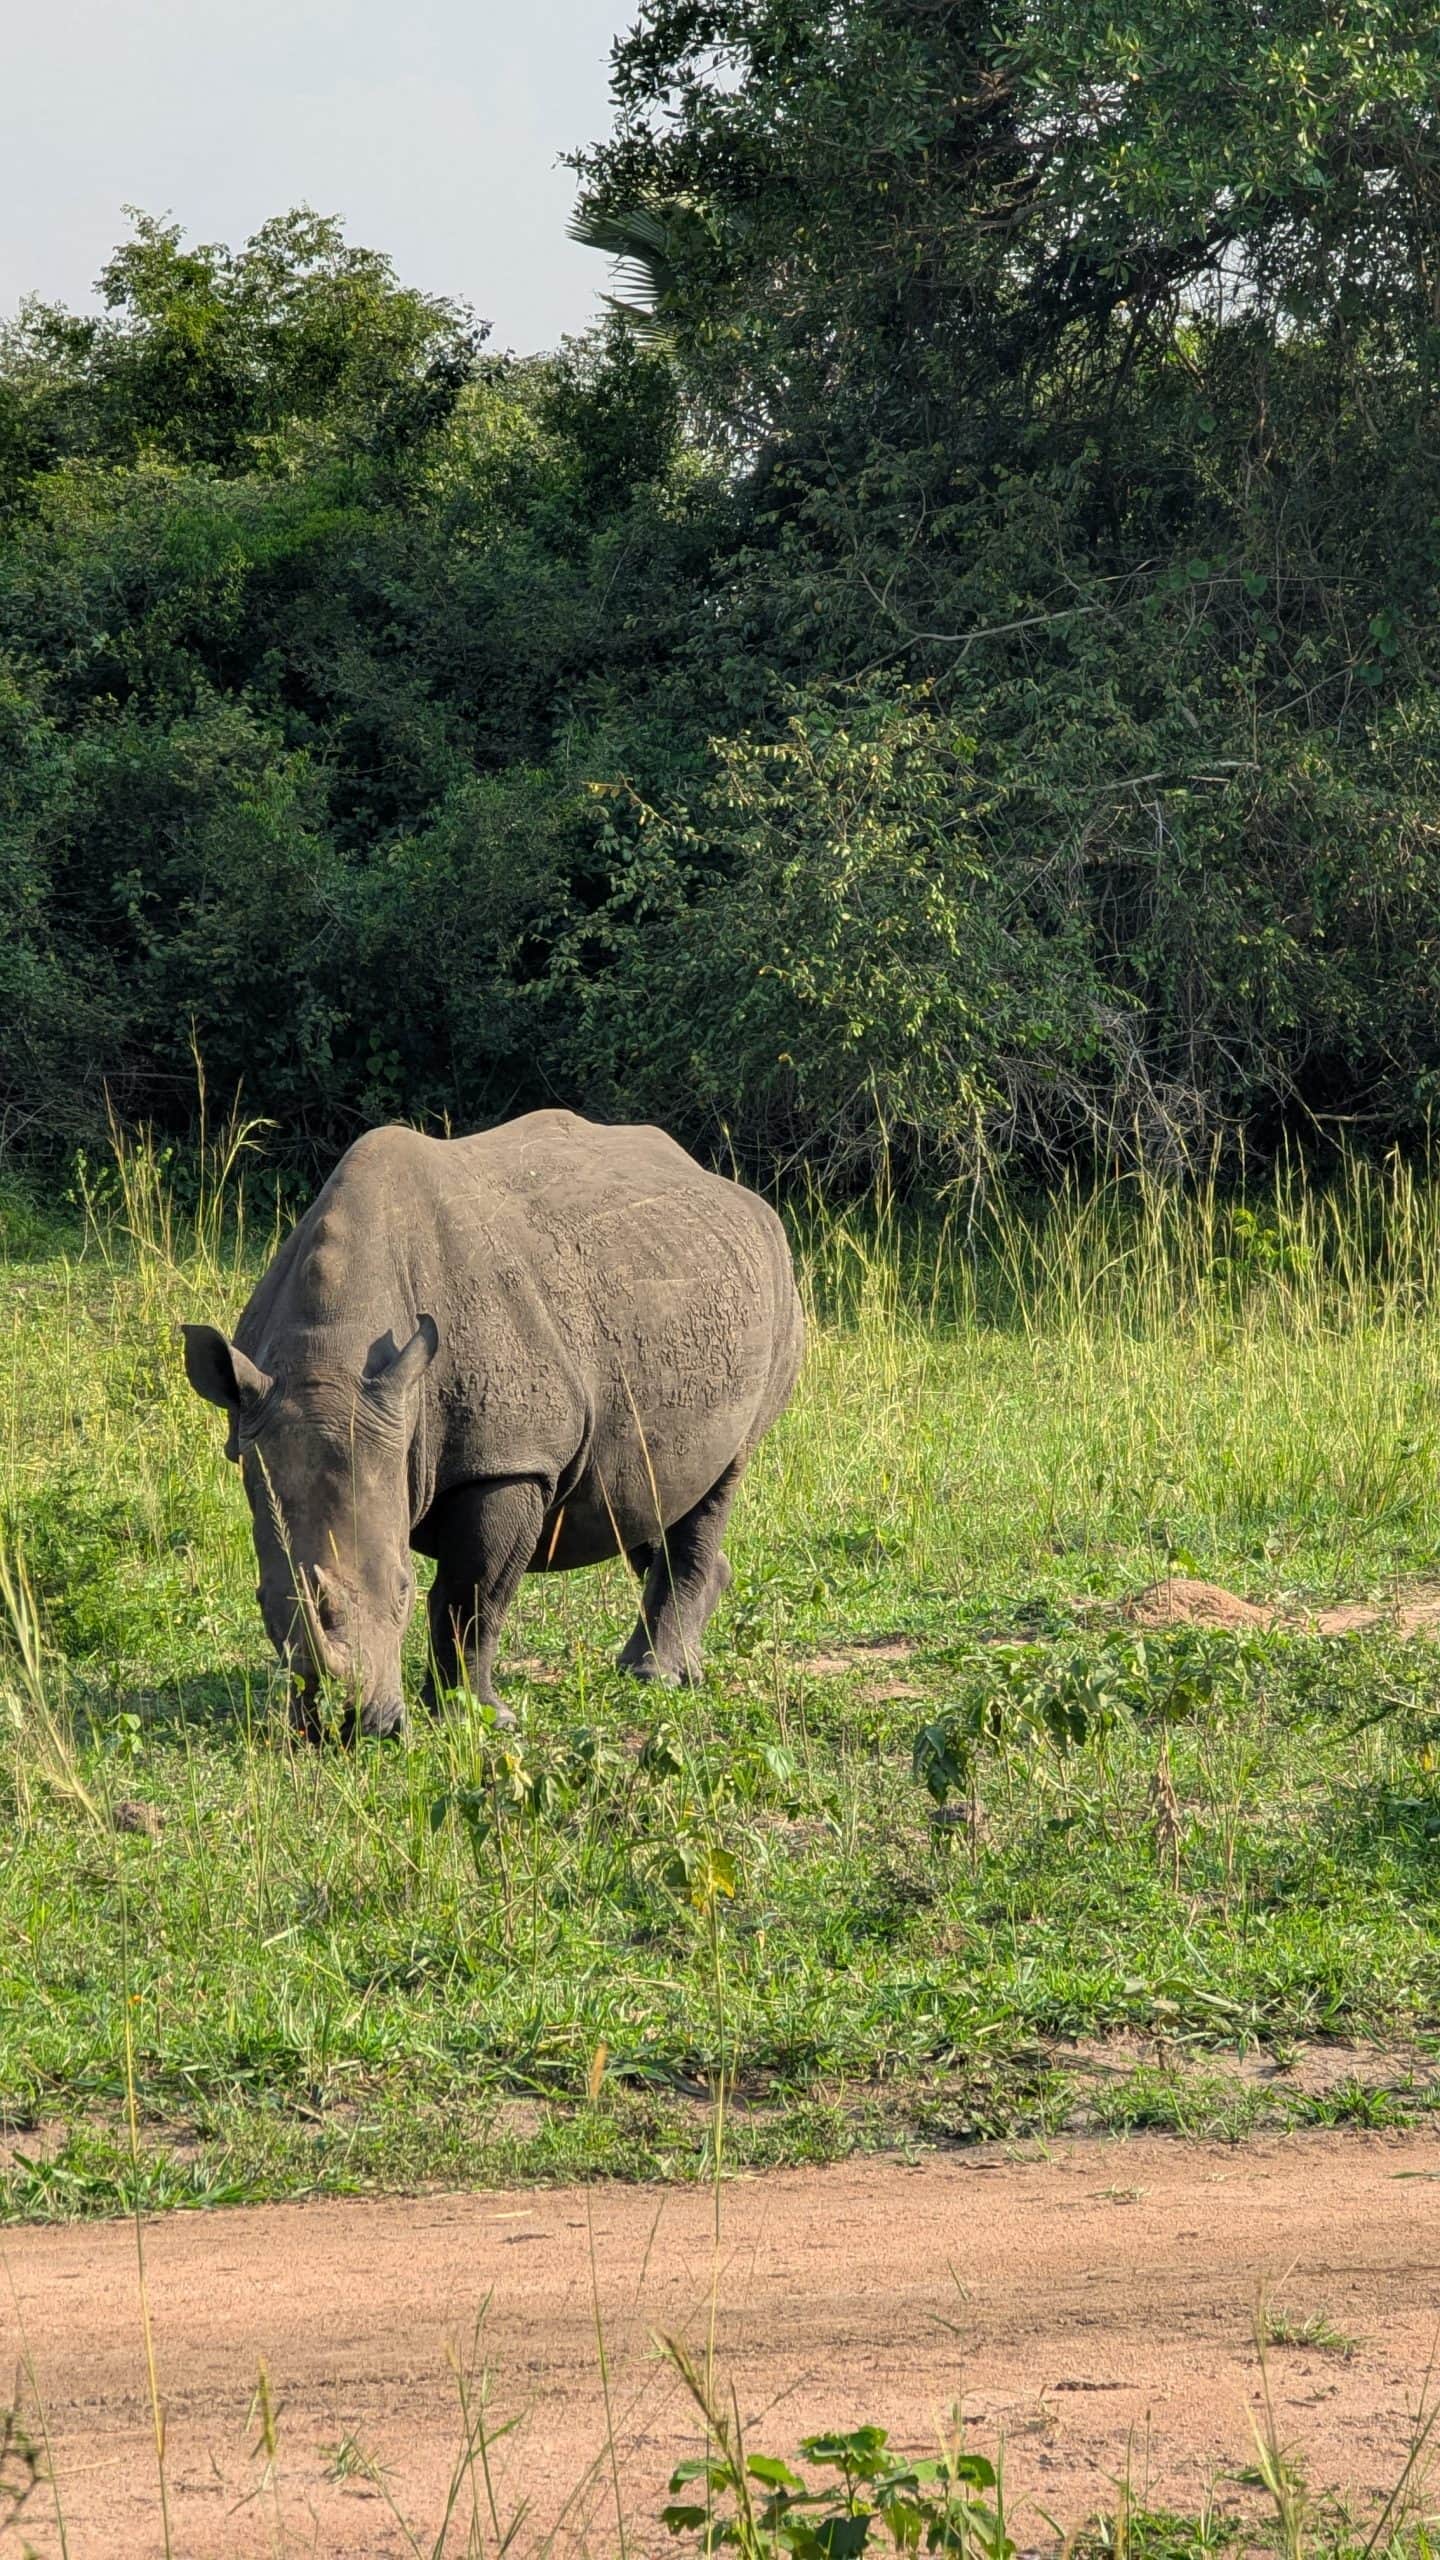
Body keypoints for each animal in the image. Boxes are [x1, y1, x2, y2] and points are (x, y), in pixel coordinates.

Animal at [182, 1111, 804, 1736]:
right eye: (261, 1603)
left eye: (403, 1592)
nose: (348, 1728)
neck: (333, 1353)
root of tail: (730, 1189)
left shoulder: (510, 1461)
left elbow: (473, 1593)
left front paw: (475, 1717)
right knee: (651, 1491)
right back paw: (660, 1659)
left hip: (779, 1288)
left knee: (724, 1474)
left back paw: (657, 1676)